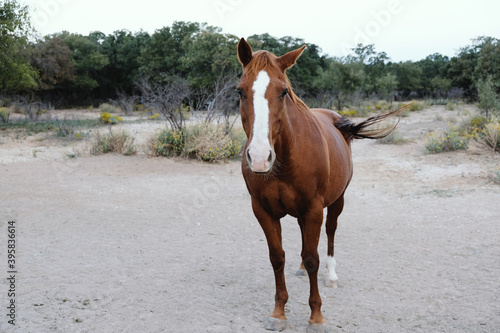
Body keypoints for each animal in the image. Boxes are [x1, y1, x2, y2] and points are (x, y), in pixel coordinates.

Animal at [236, 38, 404, 330]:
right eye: (240, 91)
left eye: (283, 91)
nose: (258, 157)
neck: (286, 157)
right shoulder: (263, 210)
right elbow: (277, 257)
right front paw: (278, 312)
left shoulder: (315, 208)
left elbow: (313, 258)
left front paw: (316, 316)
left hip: (337, 201)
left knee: (330, 233)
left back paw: (332, 276)